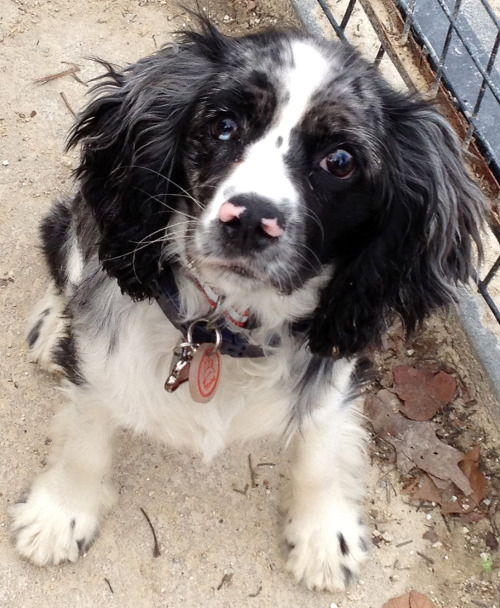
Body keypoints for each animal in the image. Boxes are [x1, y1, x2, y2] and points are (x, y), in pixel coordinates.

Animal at [11, 20, 486, 592]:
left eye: (340, 161)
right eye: (223, 126)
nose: (251, 218)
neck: (223, 328)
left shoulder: (338, 358)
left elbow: (320, 446)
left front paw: (324, 534)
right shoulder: (101, 364)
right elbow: (86, 436)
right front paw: (60, 514)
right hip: (85, 221)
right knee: (66, 251)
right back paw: (50, 326)